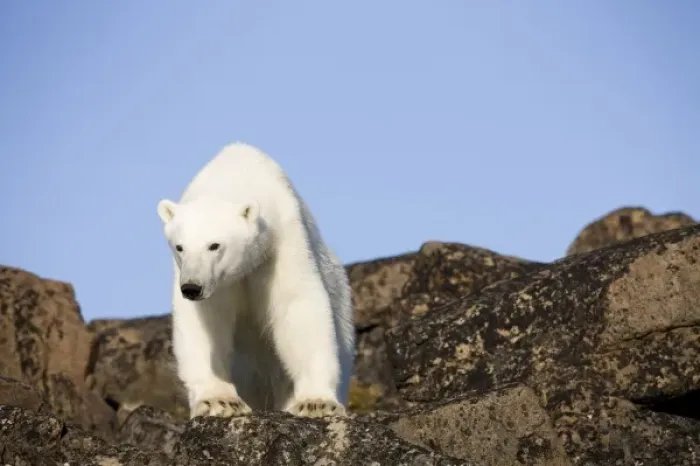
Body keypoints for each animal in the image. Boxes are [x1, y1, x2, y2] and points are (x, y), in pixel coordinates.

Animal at [156, 142, 356, 419]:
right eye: (180, 247)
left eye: (214, 245)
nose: (191, 288)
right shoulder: (208, 282)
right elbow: (205, 321)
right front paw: (219, 401)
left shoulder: (284, 241)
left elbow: (298, 306)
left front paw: (315, 402)